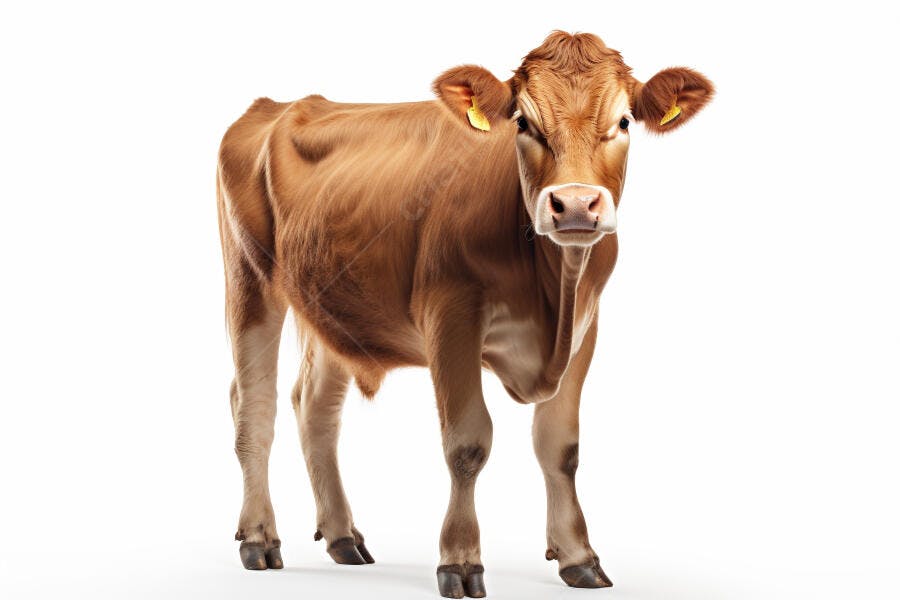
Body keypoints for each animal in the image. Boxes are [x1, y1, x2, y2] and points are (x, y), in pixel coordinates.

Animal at [216, 30, 713, 598]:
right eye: (523, 122)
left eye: (625, 121)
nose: (575, 204)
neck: (552, 291)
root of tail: (276, 105)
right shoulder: (451, 315)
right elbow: (467, 443)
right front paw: (459, 560)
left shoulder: (586, 326)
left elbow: (560, 446)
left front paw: (577, 556)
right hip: (249, 279)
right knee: (254, 406)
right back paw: (259, 537)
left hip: (333, 301)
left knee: (315, 408)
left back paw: (343, 536)